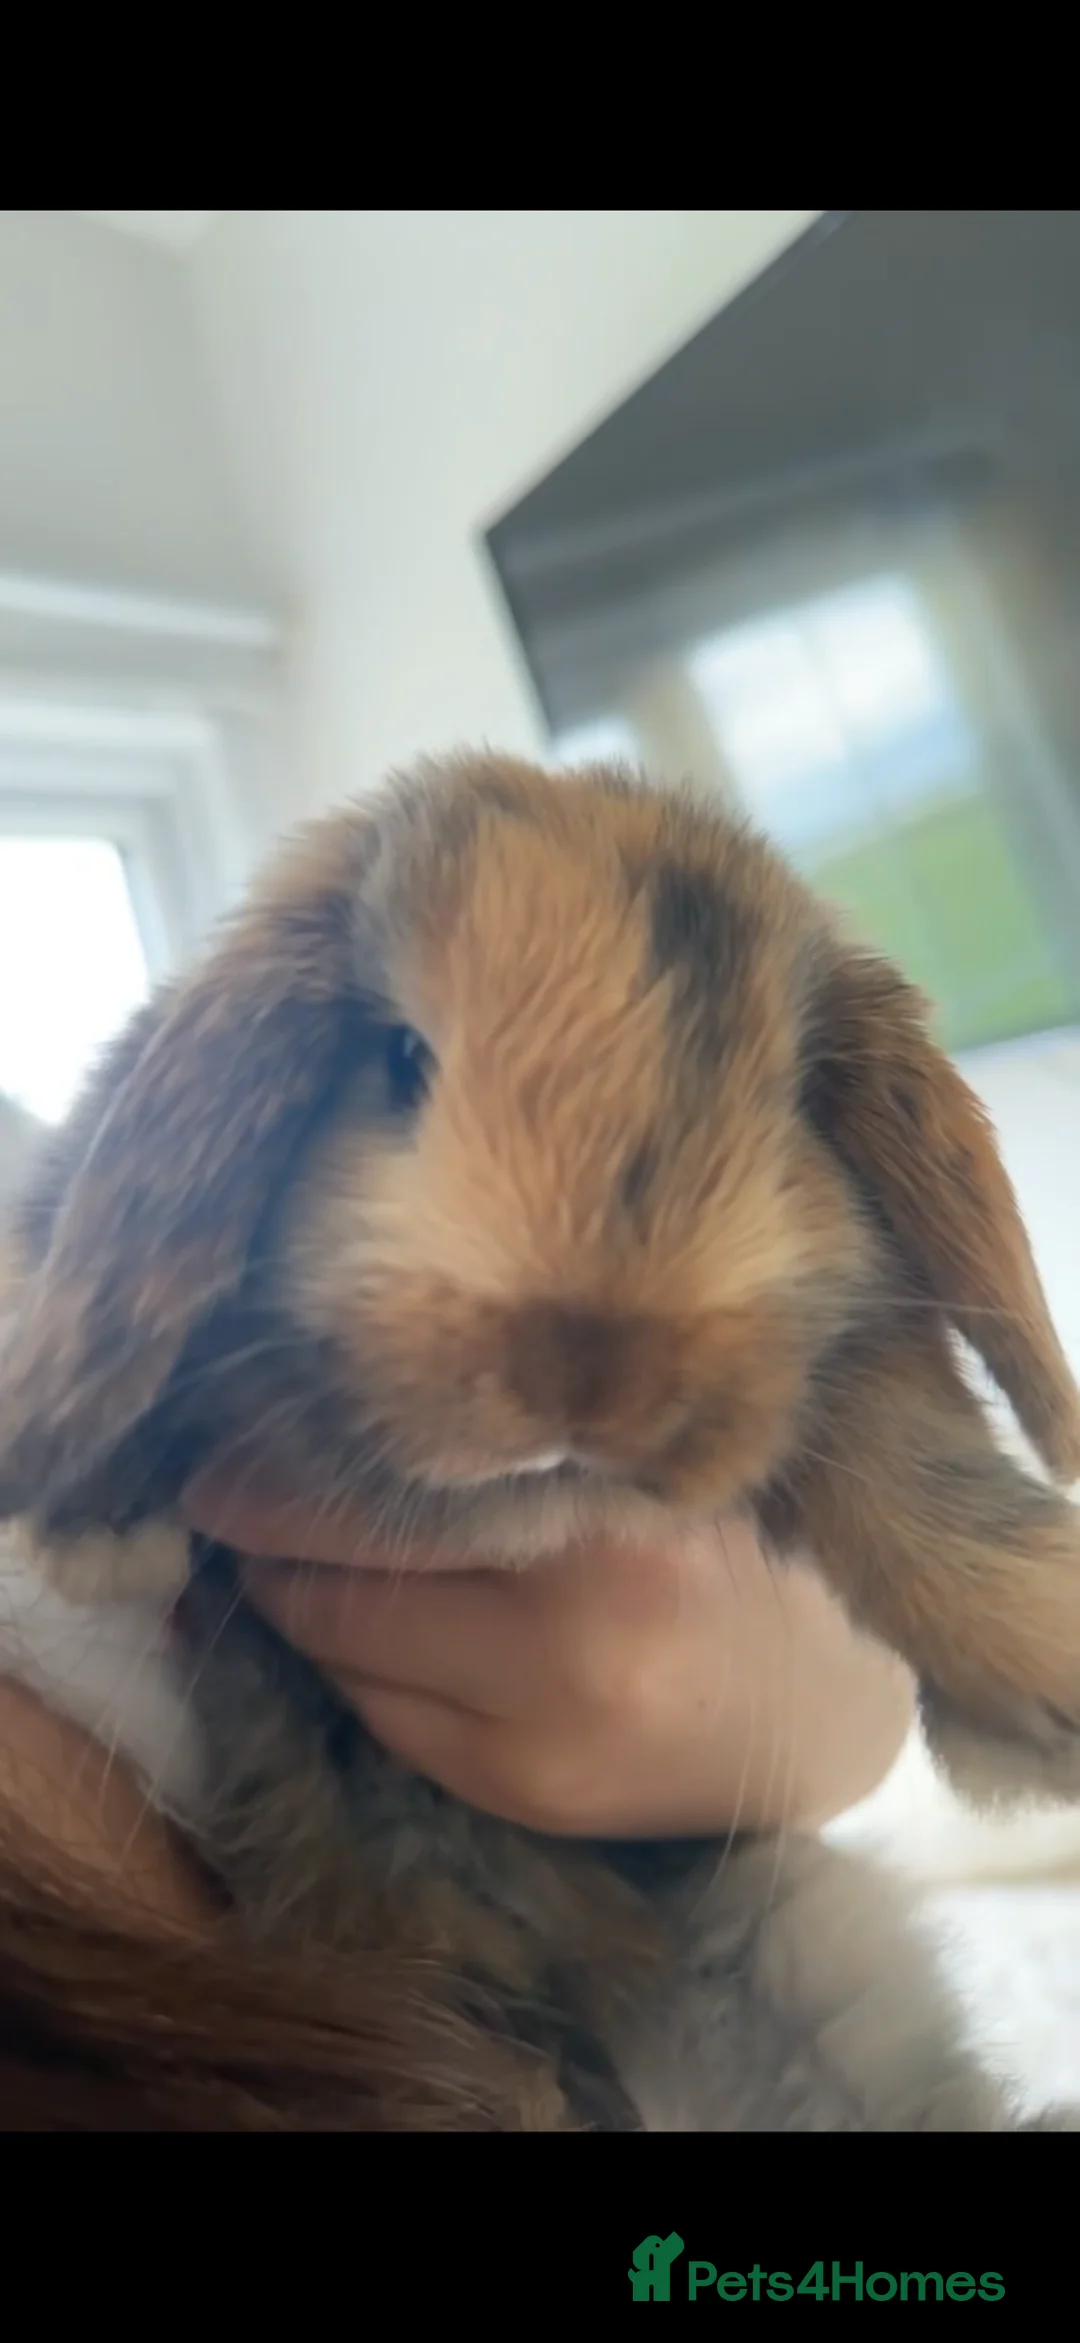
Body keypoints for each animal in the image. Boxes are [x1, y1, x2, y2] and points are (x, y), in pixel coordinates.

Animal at [2, 747, 1080, 2130]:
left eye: (783, 1103)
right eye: (401, 1059)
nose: (588, 1374)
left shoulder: (855, 1357)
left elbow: (917, 1468)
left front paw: (1044, 1668)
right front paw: (96, 1514)